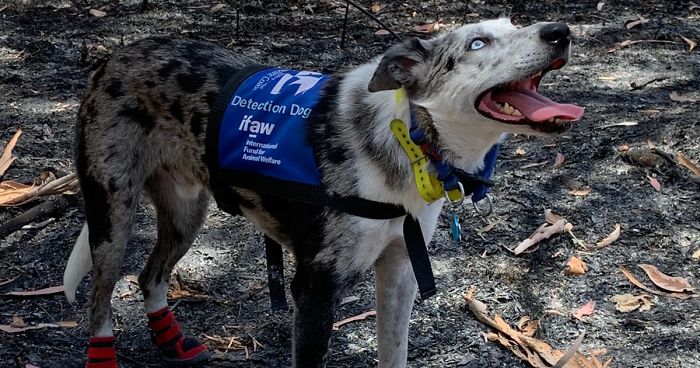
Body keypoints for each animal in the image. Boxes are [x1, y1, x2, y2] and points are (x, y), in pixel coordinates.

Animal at [63, 18, 584, 368]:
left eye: (514, 24)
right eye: (478, 43)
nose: (560, 31)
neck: (410, 138)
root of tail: (114, 56)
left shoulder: (399, 273)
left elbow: (394, 353)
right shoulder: (315, 290)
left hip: (186, 213)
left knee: (149, 277)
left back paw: (170, 341)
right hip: (112, 215)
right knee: (100, 300)